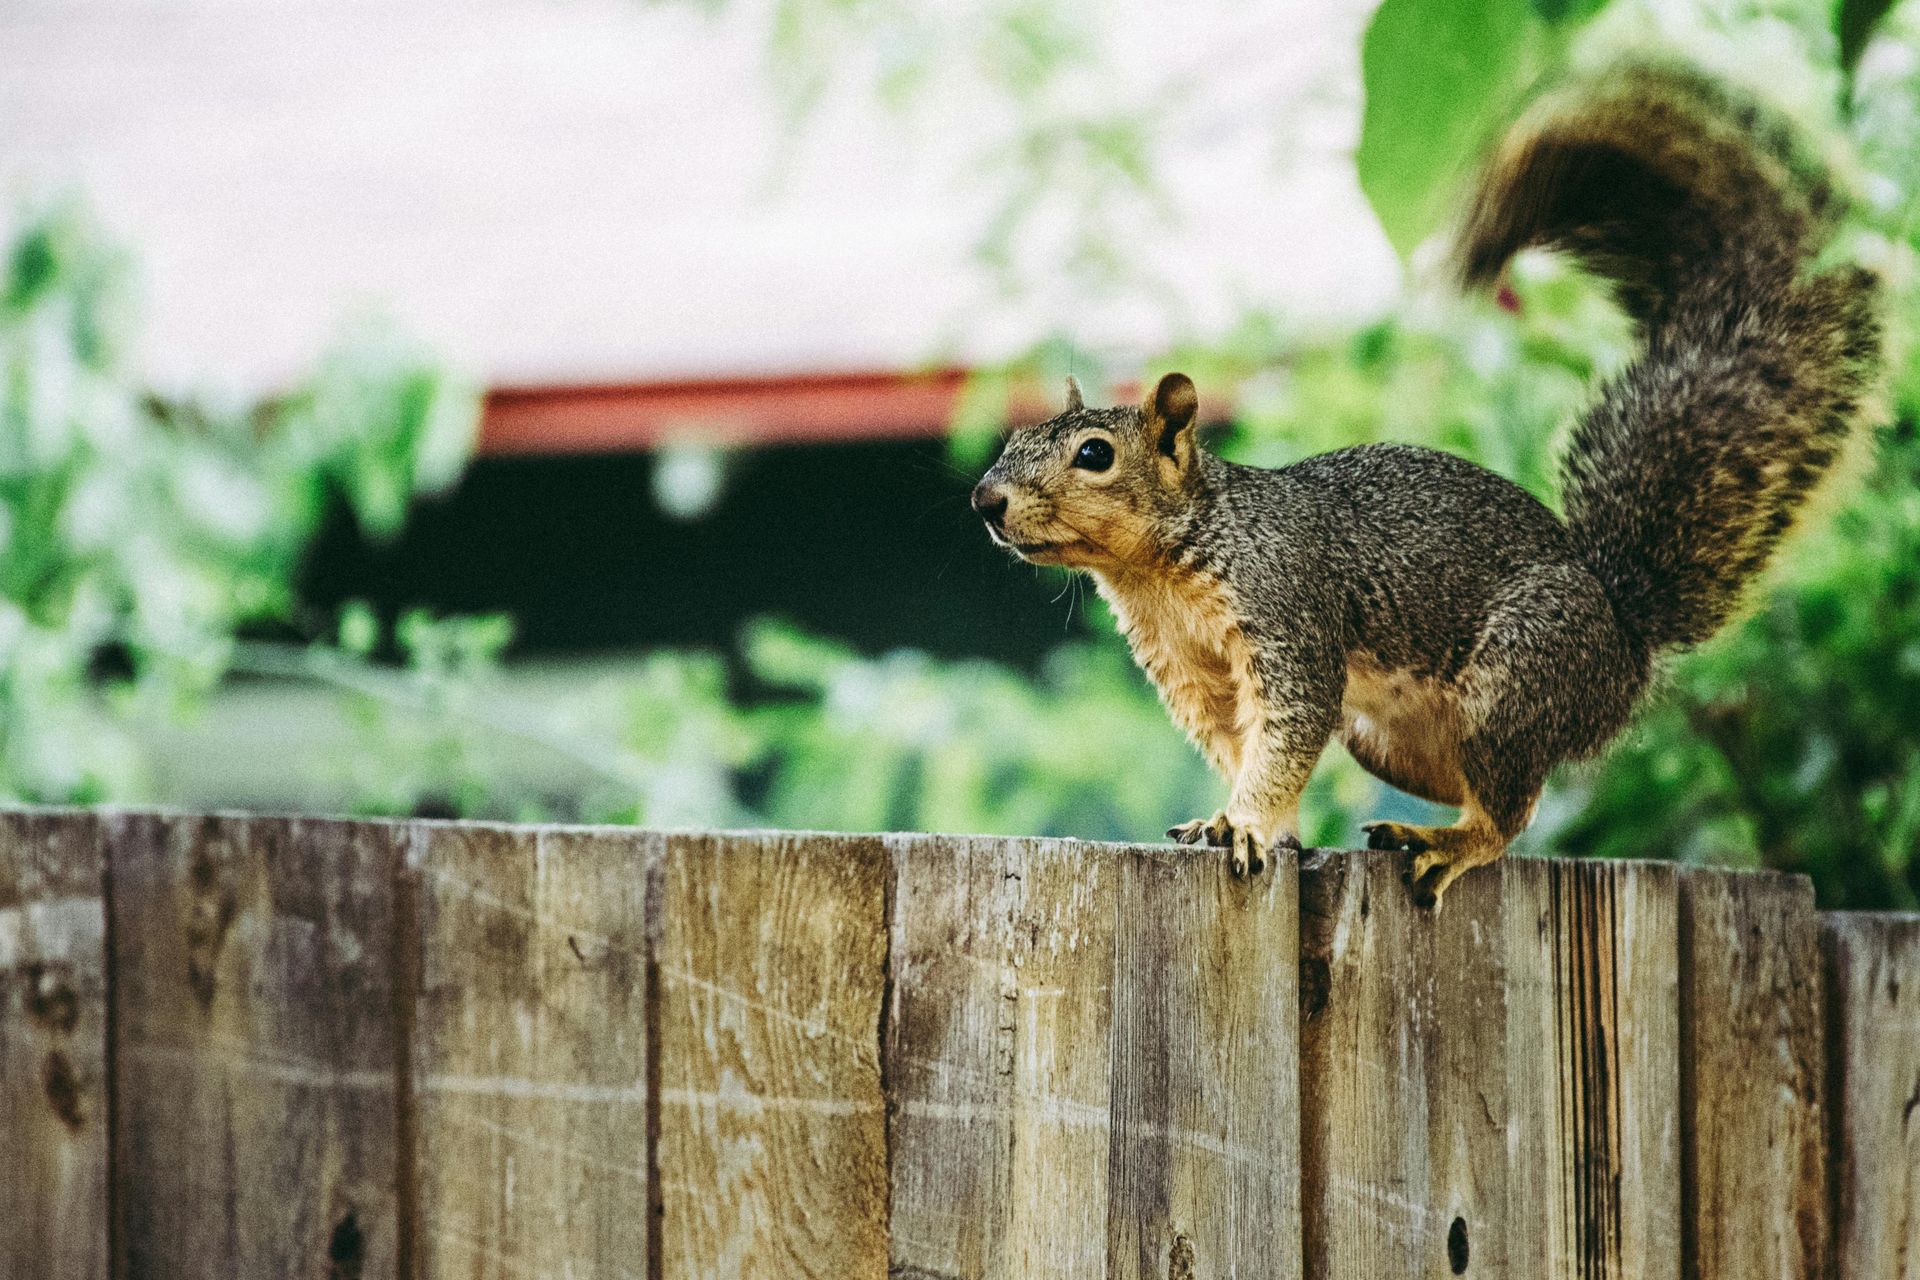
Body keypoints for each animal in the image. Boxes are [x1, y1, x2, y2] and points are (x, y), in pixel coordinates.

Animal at [970, 63, 1883, 907]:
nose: (986, 501)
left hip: (1518, 677)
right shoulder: (1194, 674)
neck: (1159, 568)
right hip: (1394, 737)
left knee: (1512, 810)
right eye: (1011, 440)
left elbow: (1285, 734)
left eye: (1094, 454)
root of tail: (1625, 634)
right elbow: (1239, 744)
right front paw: (1247, 822)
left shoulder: (1288, 614)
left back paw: (1448, 842)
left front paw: (1246, 821)